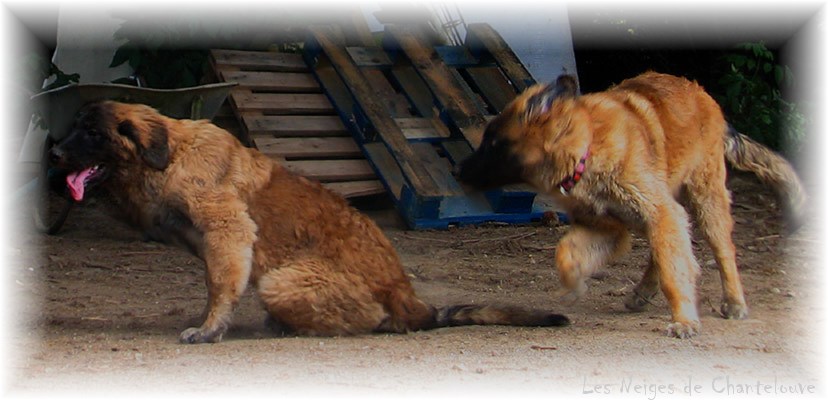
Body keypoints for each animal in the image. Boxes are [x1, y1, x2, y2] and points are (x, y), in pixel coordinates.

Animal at [48, 100, 568, 344]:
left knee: (366, 322)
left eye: (91, 133)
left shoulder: (228, 232)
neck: (168, 157)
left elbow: (220, 287)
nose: (52, 152)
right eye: (74, 128)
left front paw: (210, 330)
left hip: (280, 280)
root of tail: (410, 300)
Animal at [456, 71, 804, 338]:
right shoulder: (607, 227)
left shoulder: (659, 211)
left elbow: (674, 270)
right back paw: (642, 292)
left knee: (721, 250)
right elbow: (565, 251)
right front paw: (574, 281)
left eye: (493, 144)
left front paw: (684, 320)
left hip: (704, 202)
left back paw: (733, 301)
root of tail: (703, 94)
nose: (458, 172)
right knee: (660, 254)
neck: (587, 149)